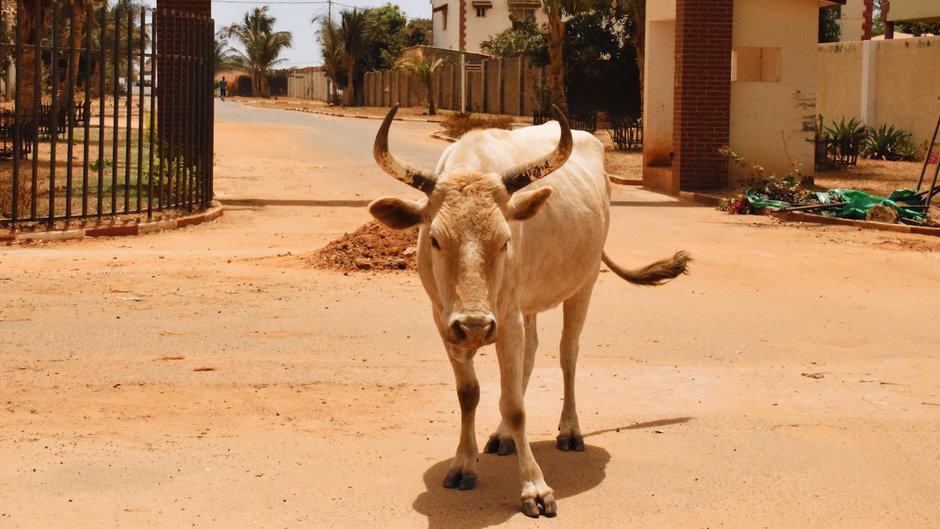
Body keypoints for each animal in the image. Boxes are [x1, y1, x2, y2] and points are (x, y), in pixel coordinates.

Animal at [370, 105, 692, 516]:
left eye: (505, 240)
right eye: (435, 240)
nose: (475, 326)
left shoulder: (505, 318)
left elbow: (515, 405)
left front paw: (534, 488)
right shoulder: (444, 320)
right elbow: (469, 394)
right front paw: (463, 465)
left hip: (583, 284)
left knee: (567, 353)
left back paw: (569, 430)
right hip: (525, 306)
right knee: (532, 352)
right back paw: (503, 436)